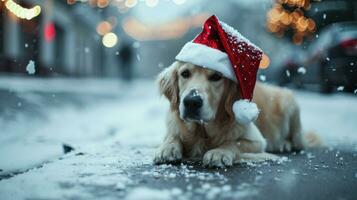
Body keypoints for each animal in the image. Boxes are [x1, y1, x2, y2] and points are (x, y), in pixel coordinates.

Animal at [154, 61, 318, 167]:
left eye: (216, 77)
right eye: (185, 73)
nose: (192, 101)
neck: (203, 130)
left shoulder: (257, 141)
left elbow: (234, 142)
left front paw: (219, 152)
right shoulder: (174, 128)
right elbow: (172, 137)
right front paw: (167, 148)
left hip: (289, 102)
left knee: (298, 143)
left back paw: (285, 144)